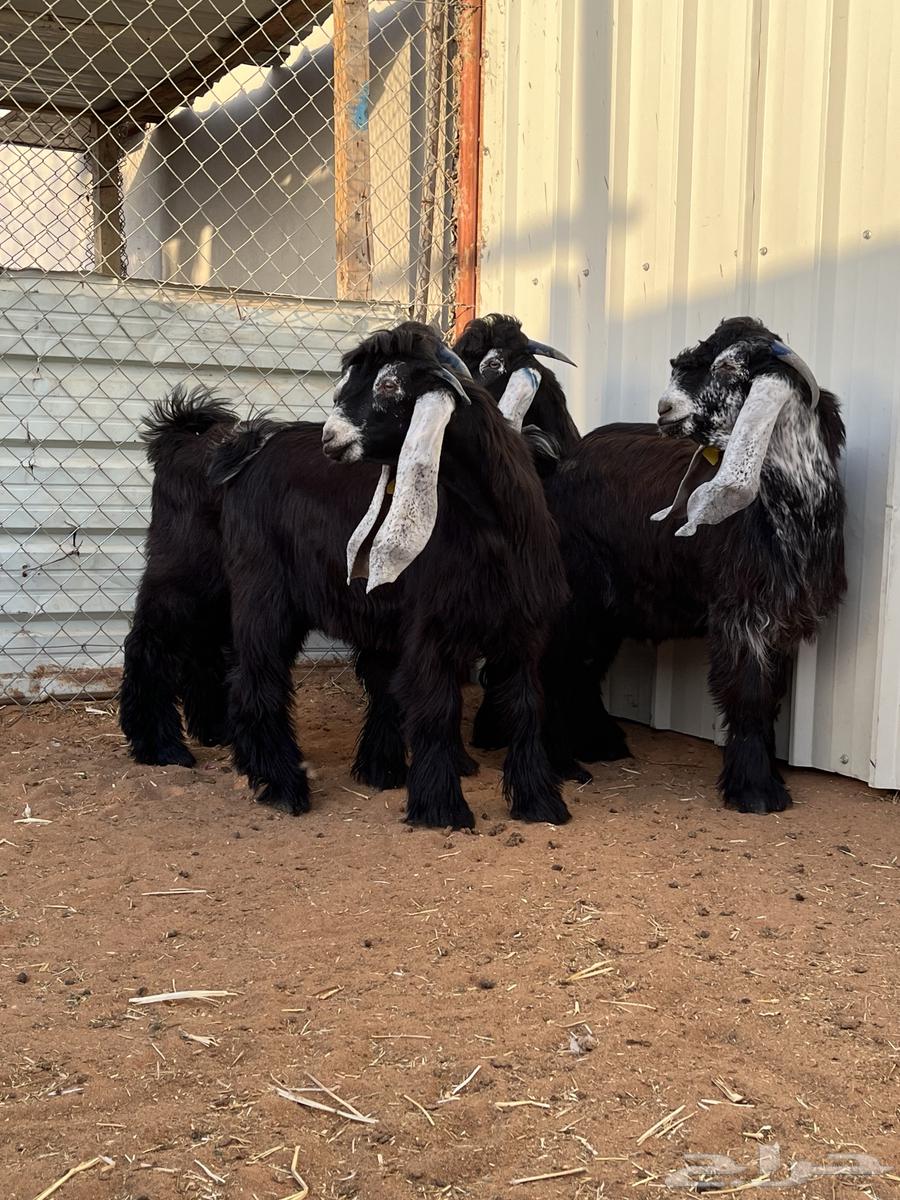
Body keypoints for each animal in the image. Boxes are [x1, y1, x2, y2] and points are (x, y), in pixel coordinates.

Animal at [204, 323, 570, 828]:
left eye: (391, 385)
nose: (331, 439)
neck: (492, 526)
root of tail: (248, 453)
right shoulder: (430, 626)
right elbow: (436, 709)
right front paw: (441, 807)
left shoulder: (522, 628)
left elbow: (525, 707)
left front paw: (539, 801)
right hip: (263, 591)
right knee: (257, 681)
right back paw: (283, 785)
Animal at [539, 316, 846, 814]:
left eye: (729, 368)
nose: (664, 408)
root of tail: (556, 466)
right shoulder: (741, 610)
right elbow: (748, 693)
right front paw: (756, 790)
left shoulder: (781, 614)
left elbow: (771, 696)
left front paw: (769, 772)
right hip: (573, 591)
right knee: (553, 665)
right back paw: (561, 762)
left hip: (605, 605)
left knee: (583, 665)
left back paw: (600, 744)